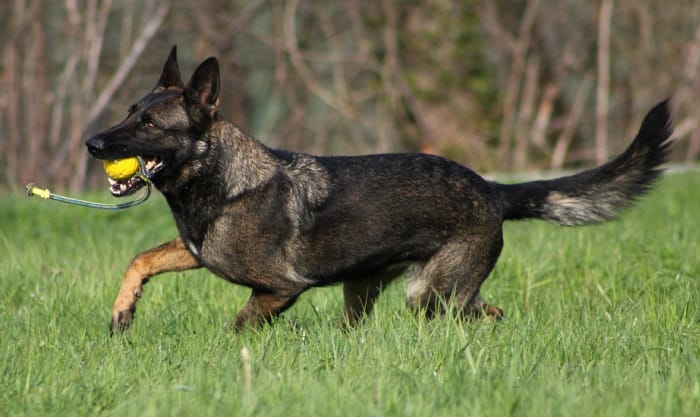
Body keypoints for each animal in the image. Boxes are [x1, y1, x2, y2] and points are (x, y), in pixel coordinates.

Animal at [85, 46, 673, 334]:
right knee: (490, 314)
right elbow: (141, 259)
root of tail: (492, 188)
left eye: (150, 124)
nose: (92, 143)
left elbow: (237, 327)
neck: (221, 179)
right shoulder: (196, 251)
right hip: (377, 293)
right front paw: (122, 311)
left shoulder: (280, 288)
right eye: (129, 112)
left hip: (429, 296)